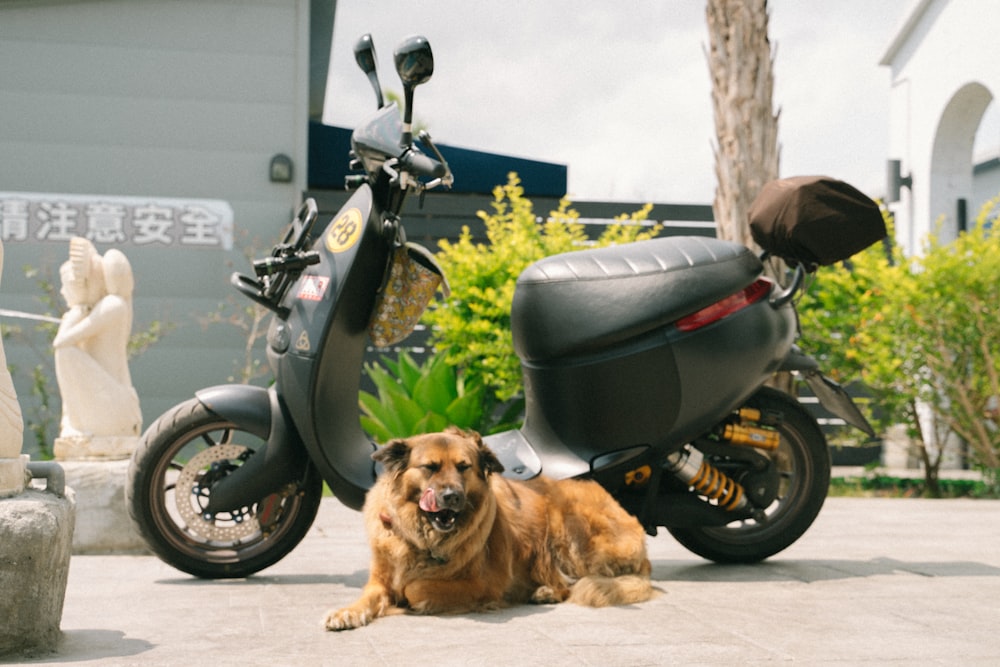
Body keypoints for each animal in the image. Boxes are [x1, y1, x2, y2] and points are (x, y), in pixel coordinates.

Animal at [322, 428, 656, 632]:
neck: (420, 538)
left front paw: (413, 602)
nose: (451, 497)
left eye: (463, 467)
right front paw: (346, 612)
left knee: (572, 582)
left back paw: (546, 590)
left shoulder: (484, 584)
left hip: (567, 528)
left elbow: (415, 588)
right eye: (430, 467)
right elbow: (369, 597)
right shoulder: (379, 580)